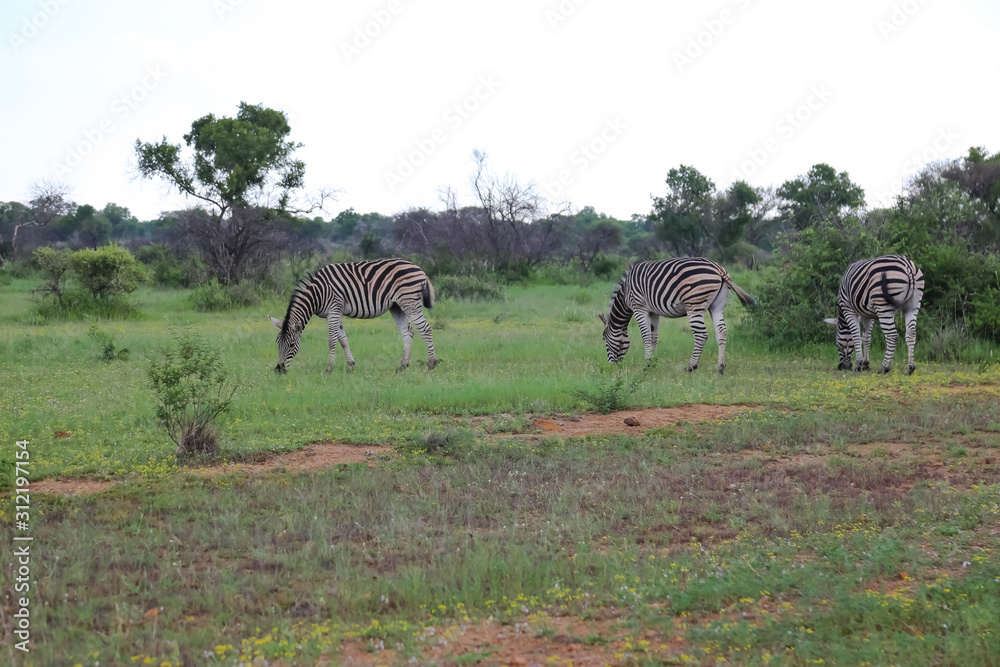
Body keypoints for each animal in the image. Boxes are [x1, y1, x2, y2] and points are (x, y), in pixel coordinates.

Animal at [269, 258, 438, 374]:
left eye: (292, 345)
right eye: (277, 343)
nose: (279, 369)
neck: (318, 293)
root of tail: (419, 268)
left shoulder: (334, 310)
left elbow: (332, 341)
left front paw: (329, 369)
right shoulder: (333, 314)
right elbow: (343, 340)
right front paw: (350, 366)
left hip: (410, 302)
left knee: (426, 329)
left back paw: (432, 364)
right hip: (397, 306)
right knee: (408, 332)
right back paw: (402, 366)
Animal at [598, 257, 756, 374]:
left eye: (604, 339)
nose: (610, 368)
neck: (625, 294)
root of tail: (718, 269)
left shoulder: (639, 307)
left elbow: (646, 336)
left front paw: (647, 364)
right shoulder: (653, 312)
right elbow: (654, 337)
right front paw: (653, 363)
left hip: (694, 305)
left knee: (701, 335)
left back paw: (690, 367)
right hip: (717, 306)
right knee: (721, 331)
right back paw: (720, 367)